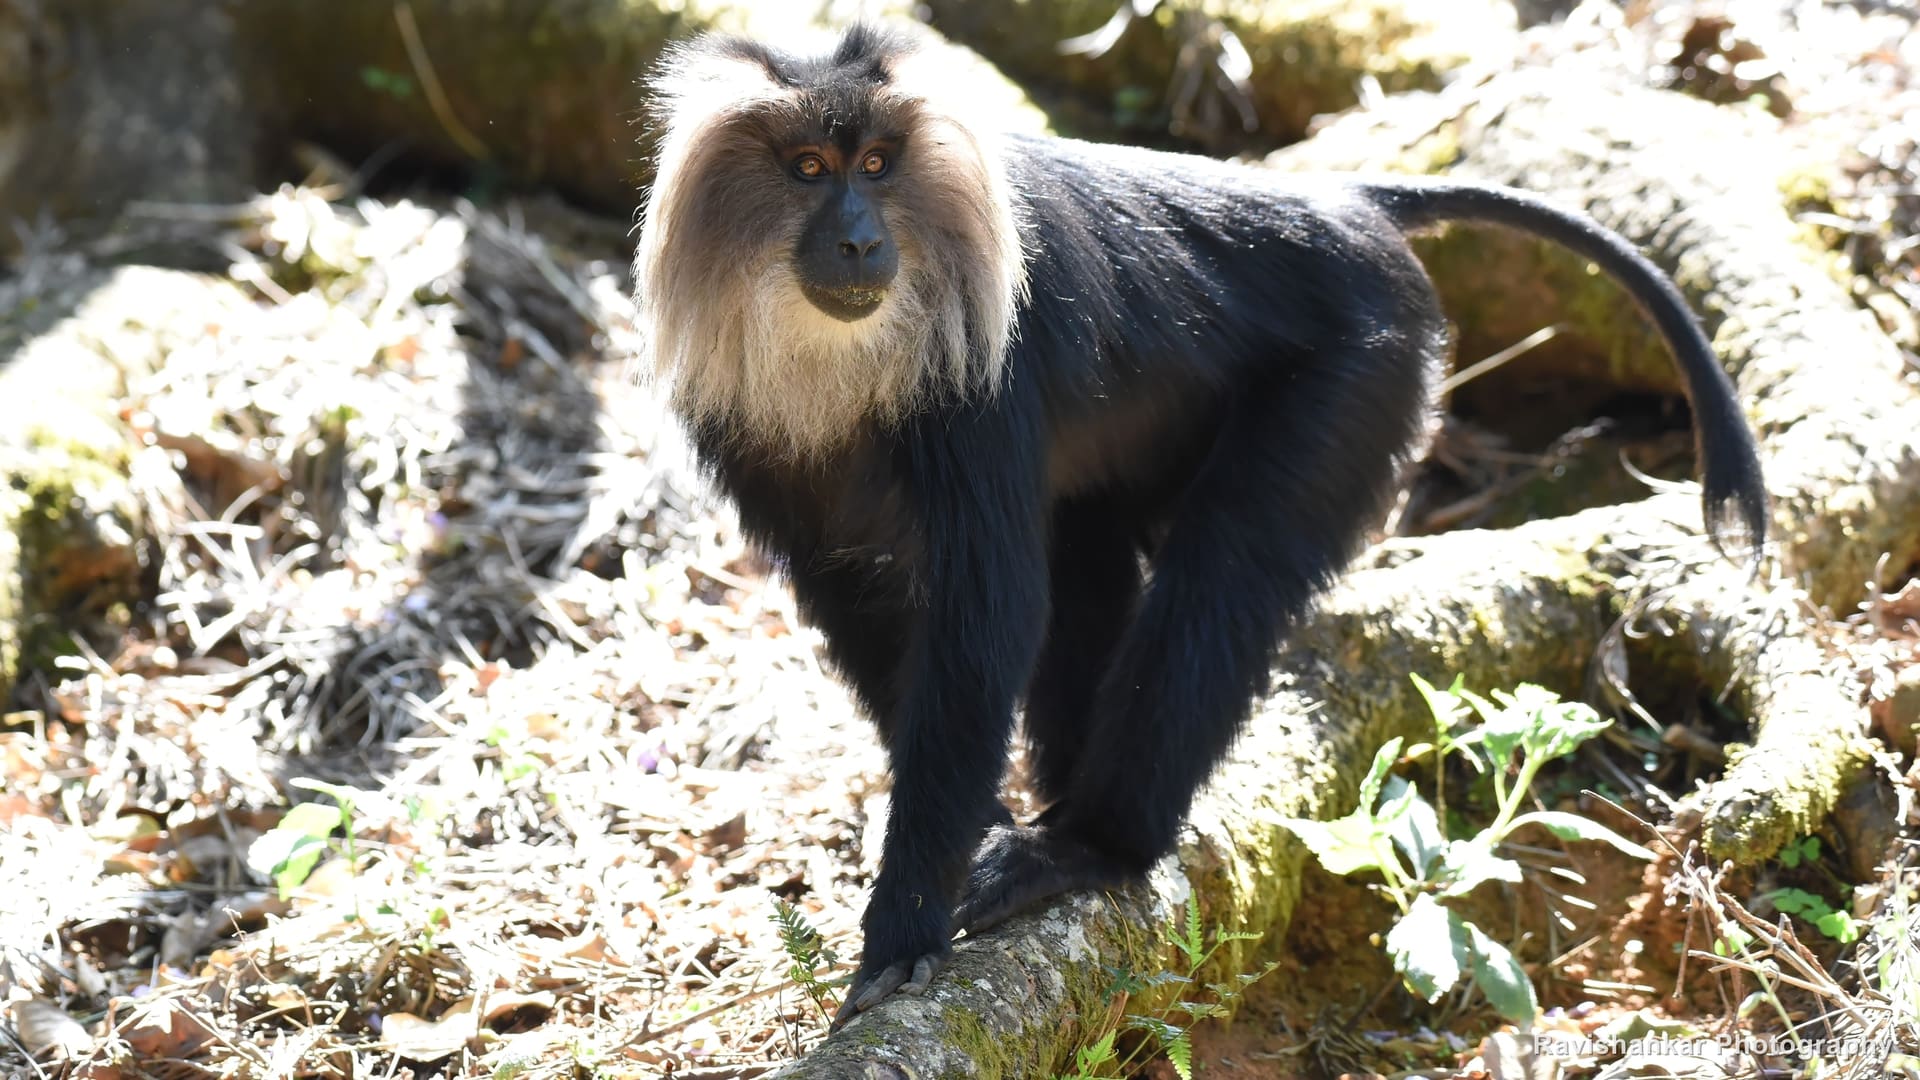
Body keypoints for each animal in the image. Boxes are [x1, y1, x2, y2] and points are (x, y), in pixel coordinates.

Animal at [632, 24, 1767, 1027]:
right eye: (808, 167)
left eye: (875, 163)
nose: (863, 239)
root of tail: (1338, 202)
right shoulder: (749, 429)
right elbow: (868, 608)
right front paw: (969, 834)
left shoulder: (984, 373)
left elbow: (986, 619)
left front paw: (906, 921)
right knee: (1090, 560)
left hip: (1363, 362)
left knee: (1223, 574)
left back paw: (1099, 844)